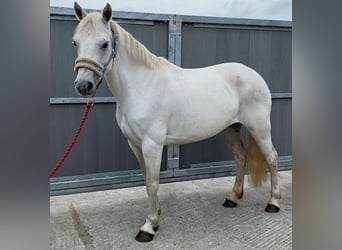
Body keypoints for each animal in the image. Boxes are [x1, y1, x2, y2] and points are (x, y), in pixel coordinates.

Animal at [71, 2, 280, 242]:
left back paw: (273, 203)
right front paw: (157, 215)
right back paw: (232, 198)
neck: (141, 85)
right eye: (75, 42)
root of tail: (256, 76)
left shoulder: (152, 144)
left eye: (104, 44)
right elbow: (146, 180)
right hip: (231, 129)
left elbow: (153, 183)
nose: (83, 86)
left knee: (272, 158)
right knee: (240, 157)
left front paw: (149, 226)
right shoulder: (135, 144)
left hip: (260, 127)